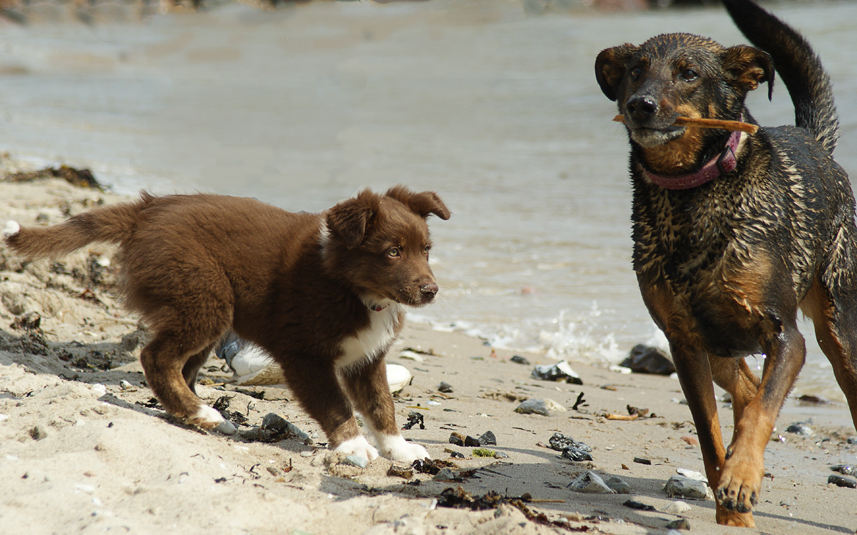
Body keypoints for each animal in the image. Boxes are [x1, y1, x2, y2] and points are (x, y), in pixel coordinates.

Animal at [3, 186, 448, 462]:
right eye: (392, 252)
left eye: (426, 249)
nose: (431, 291)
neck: (353, 288)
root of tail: (145, 210)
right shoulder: (304, 356)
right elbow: (336, 405)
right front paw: (353, 448)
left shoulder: (365, 359)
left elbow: (381, 406)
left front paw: (399, 449)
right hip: (204, 297)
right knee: (156, 358)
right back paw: (202, 412)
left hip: (204, 310)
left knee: (179, 366)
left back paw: (193, 416)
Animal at [596, 0, 856, 528]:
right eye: (635, 71)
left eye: (688, 74)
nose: (640, 106)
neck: (692, 193)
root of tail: (813, 139)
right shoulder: (684, 343)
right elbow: (710, 435)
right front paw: (732, 505)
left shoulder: (784, 335)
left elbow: (762, 410)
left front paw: (740, 480)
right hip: (717, 347)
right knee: (746, 385)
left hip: (839, 324)